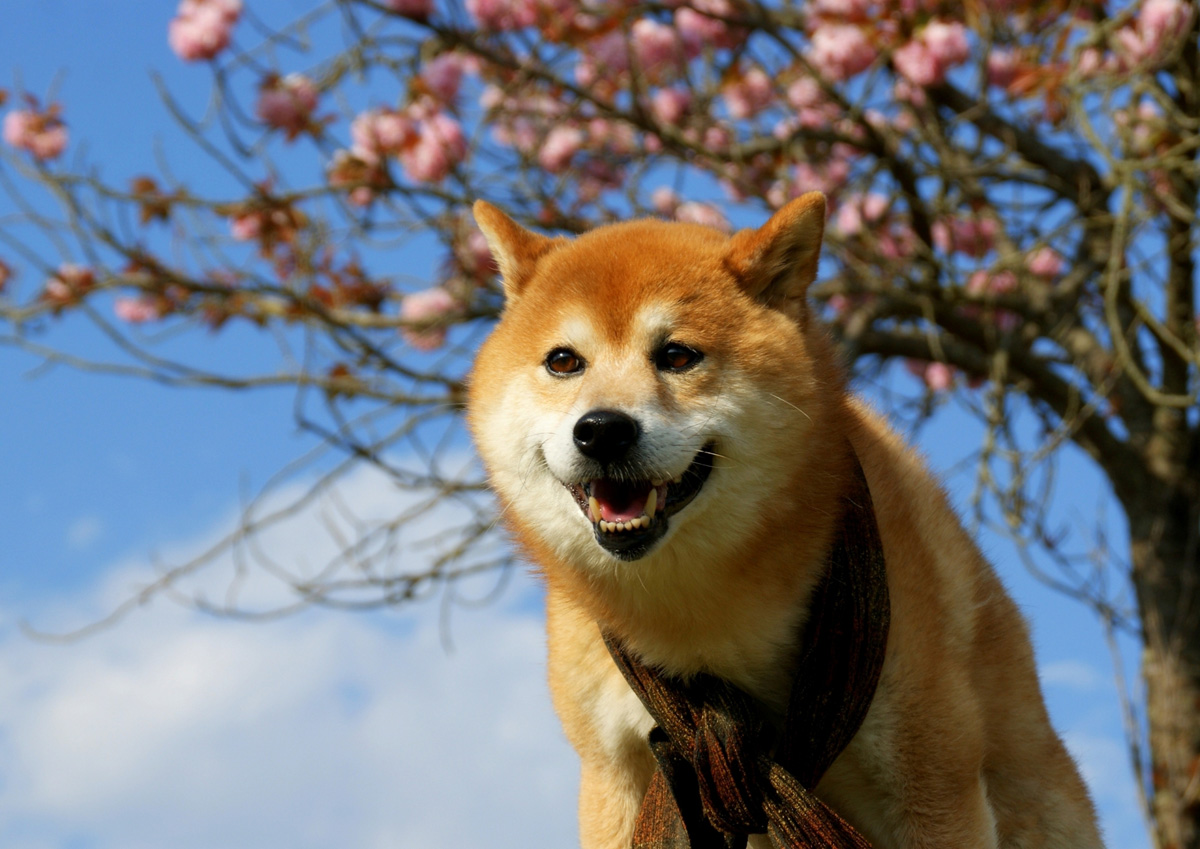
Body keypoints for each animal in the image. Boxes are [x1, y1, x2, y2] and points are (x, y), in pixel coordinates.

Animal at [463, 194, 1099, 849]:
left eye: (677, 356)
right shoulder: (616, 773)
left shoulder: (931, 777)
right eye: (564, 361)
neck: (698, 618)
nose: (602, 430)